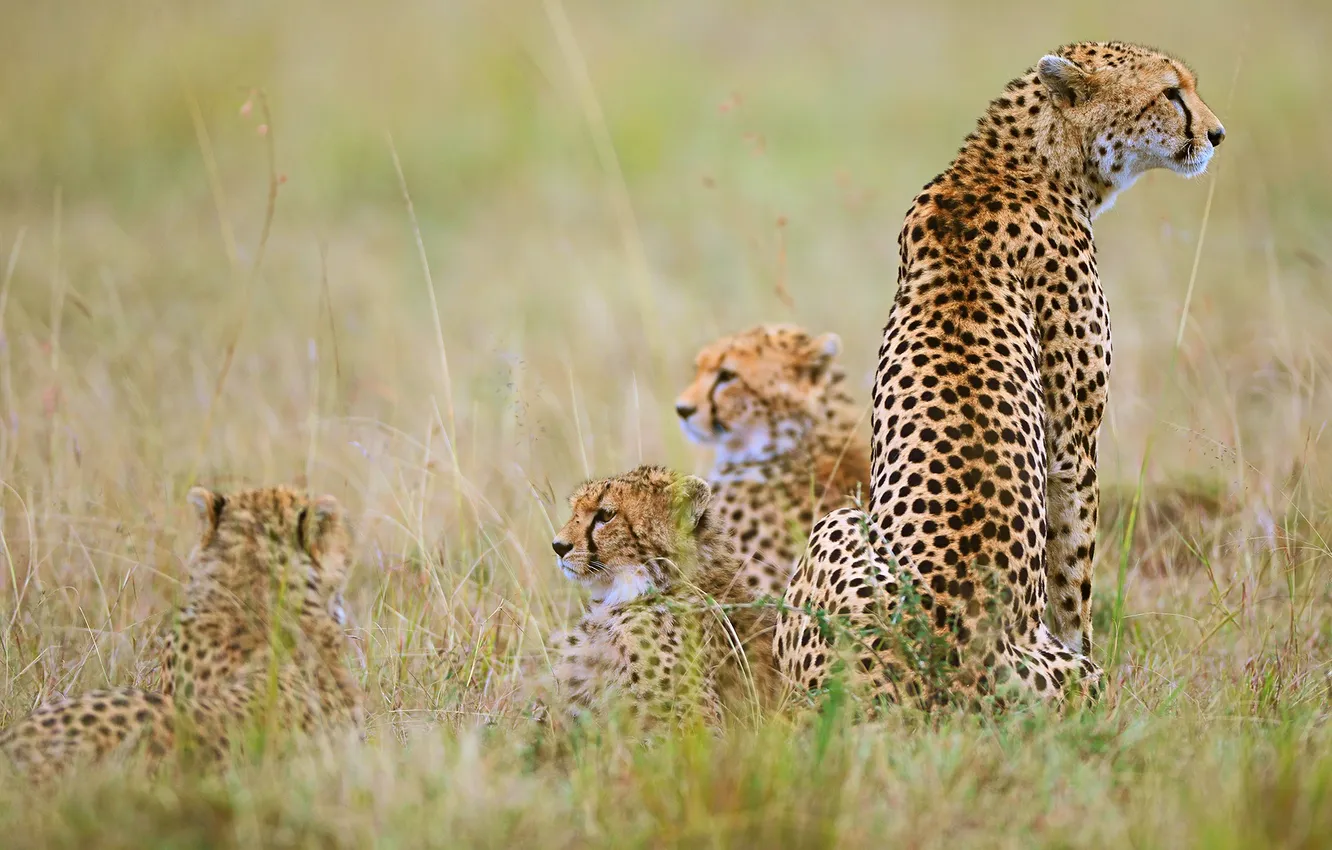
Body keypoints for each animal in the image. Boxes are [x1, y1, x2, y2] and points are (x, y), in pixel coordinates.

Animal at [775, 42, 1226, 709]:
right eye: (1171, 92)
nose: (1217, 134)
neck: (1019, 162)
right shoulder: (1074, 447)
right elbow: (1073, 574)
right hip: (838, 523)